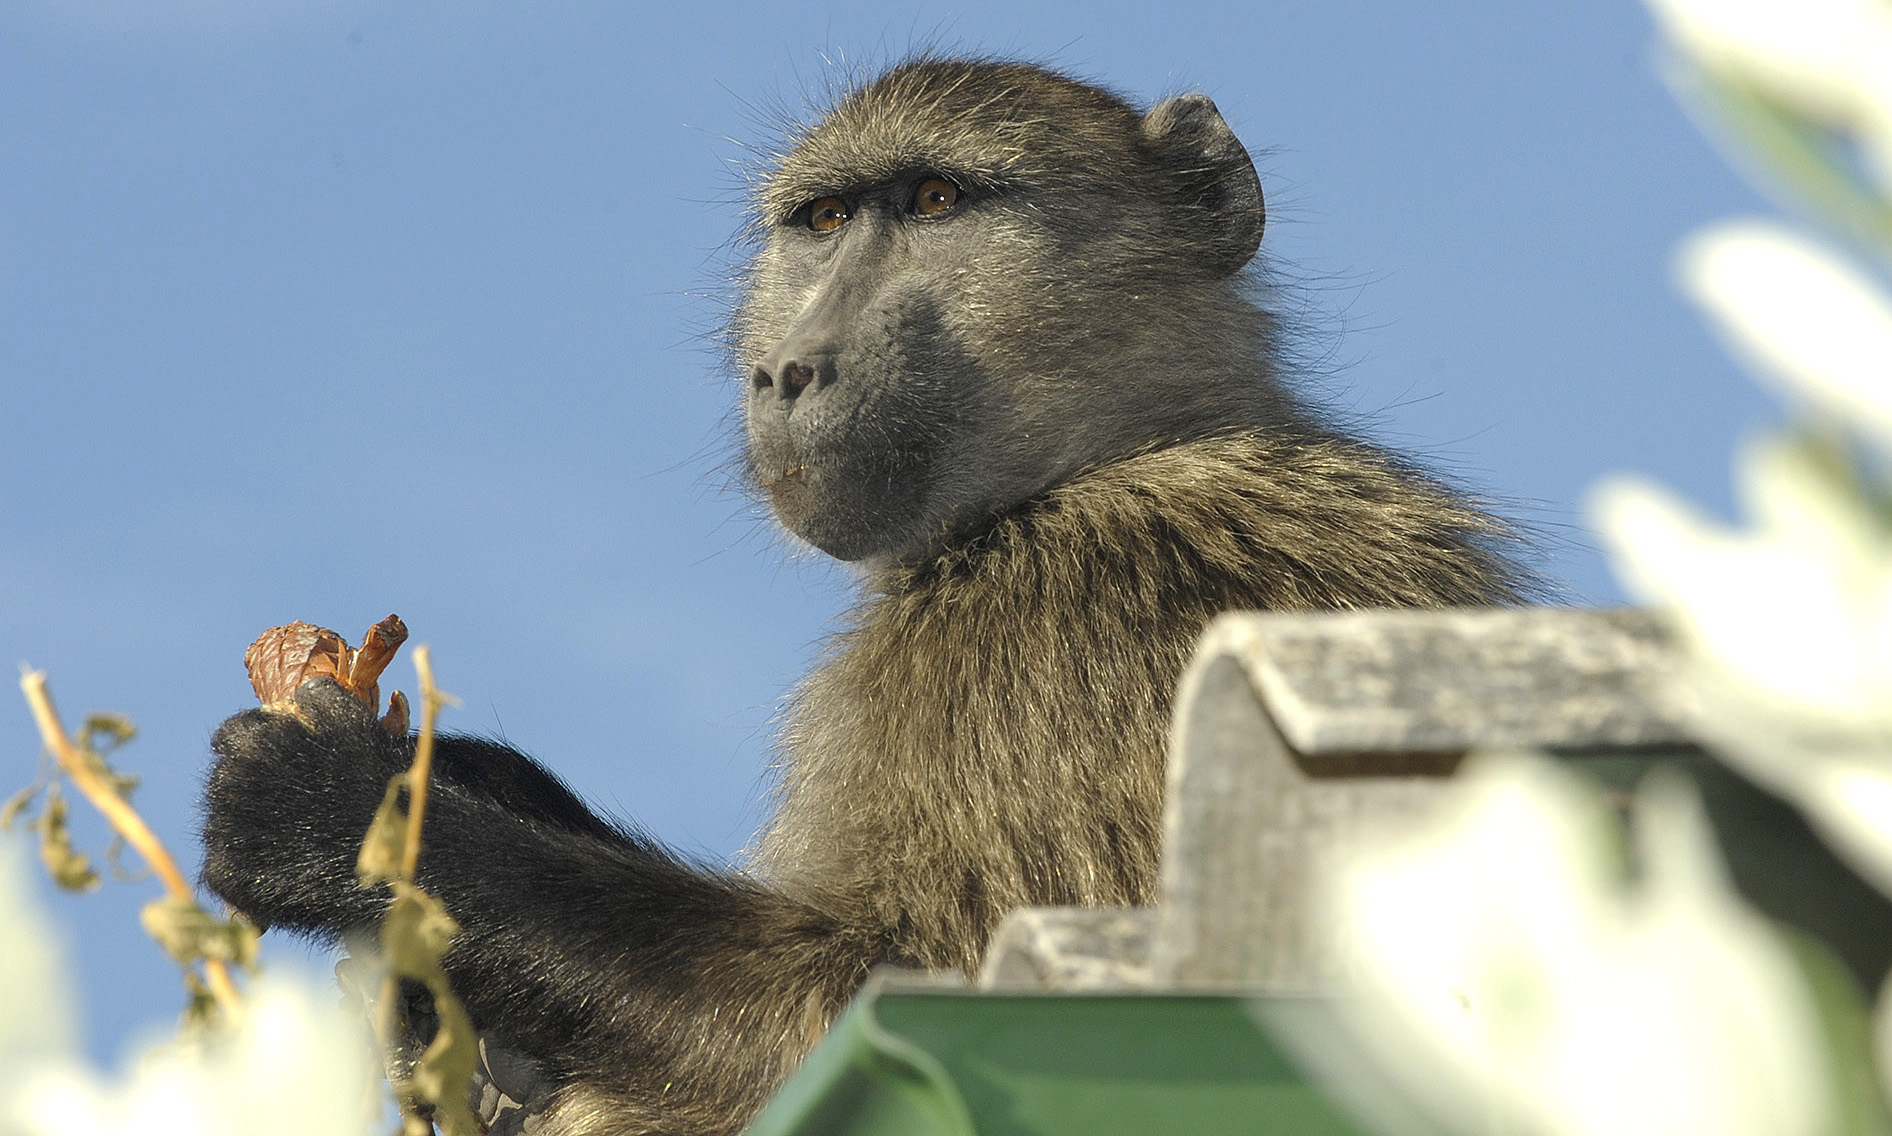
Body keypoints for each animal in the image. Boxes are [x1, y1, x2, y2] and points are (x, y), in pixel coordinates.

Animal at [201, 58, 1526, 1135]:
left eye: (936, 202)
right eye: (824, 219)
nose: (785, 372)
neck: (1110, 456)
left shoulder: (1065, 626)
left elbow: (852, 1001)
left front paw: (342, 811)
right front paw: (462, 789)